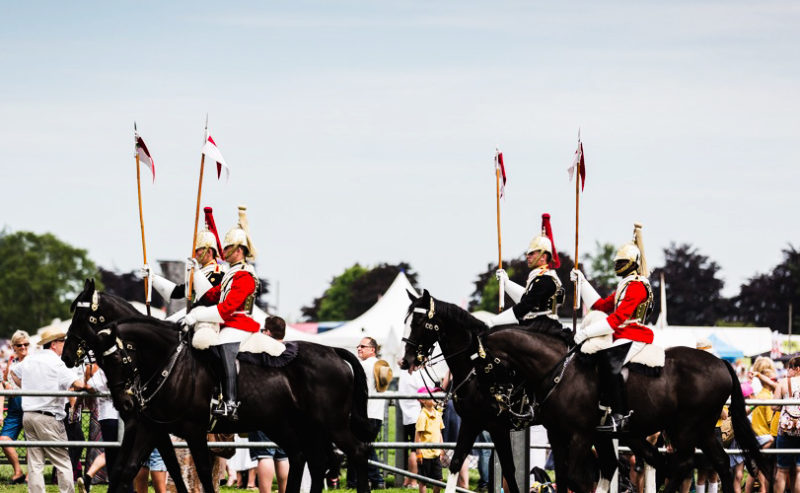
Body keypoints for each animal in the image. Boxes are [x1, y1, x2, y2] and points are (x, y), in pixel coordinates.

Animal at [64, 278, 374, 490]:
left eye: (83, 317)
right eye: (104, 362)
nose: (67, 354)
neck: (167, 360)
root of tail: (334, 351)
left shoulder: (189, 430)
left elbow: (198, 471)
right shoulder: (148, 427)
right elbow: (127, 469)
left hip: (330, 424)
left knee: (355, 452)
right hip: (291, 425)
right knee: (308, 458)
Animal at [400, 290, 768, 492]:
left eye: (420, 322)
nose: (405, 360)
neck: (555, 367)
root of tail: (720, 363)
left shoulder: (512, 428)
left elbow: (560, 477)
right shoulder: (503, 427)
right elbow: (461, 464)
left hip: (685, 429)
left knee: (680, 465)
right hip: (696, 430)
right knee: (716, 464)